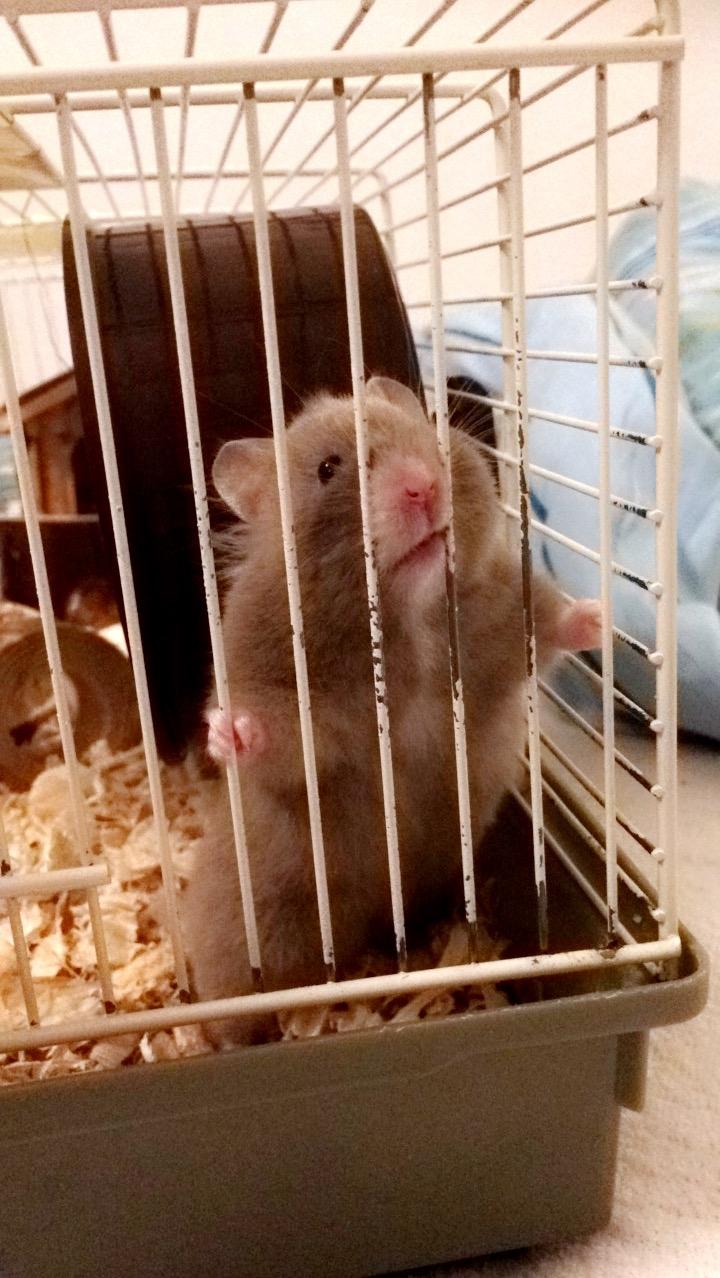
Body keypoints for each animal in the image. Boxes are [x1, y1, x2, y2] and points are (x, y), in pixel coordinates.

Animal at [183, 377, 601, 1045]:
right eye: (328, 470)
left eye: (424, 431)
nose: (423, 486)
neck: (410, 622)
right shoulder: (292, 696)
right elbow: (282, 742)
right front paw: (230, 732)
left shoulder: (498, 624)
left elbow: (547, 623)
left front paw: (599, 616)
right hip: (250, 933)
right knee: (234, 1007)